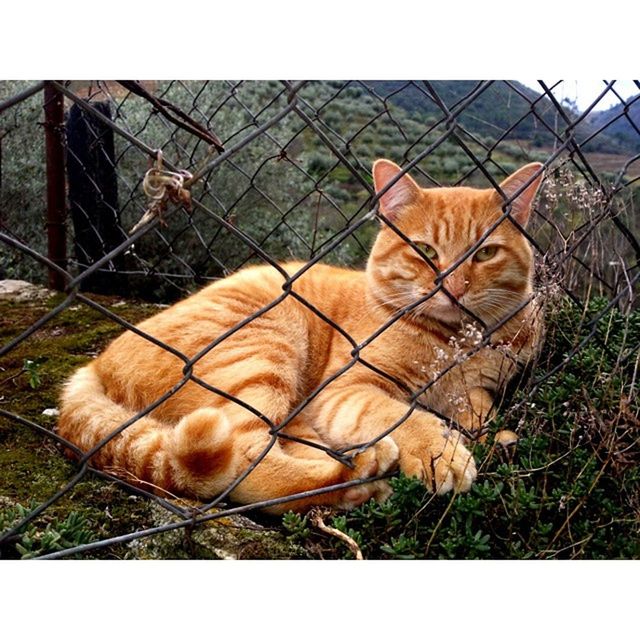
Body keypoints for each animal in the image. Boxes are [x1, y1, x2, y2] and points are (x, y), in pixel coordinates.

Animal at [57, 160, 544, 516]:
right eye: (424, 251)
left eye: (486, 253)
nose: (453, 287)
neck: (457, 341)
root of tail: (92, 365)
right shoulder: (349, 390)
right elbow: (406, 416)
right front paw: (441, 454)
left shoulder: (476, 389)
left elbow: (479, 409)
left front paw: (492, 435)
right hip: (262, 352)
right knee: (242, 463)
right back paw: (354, 478)